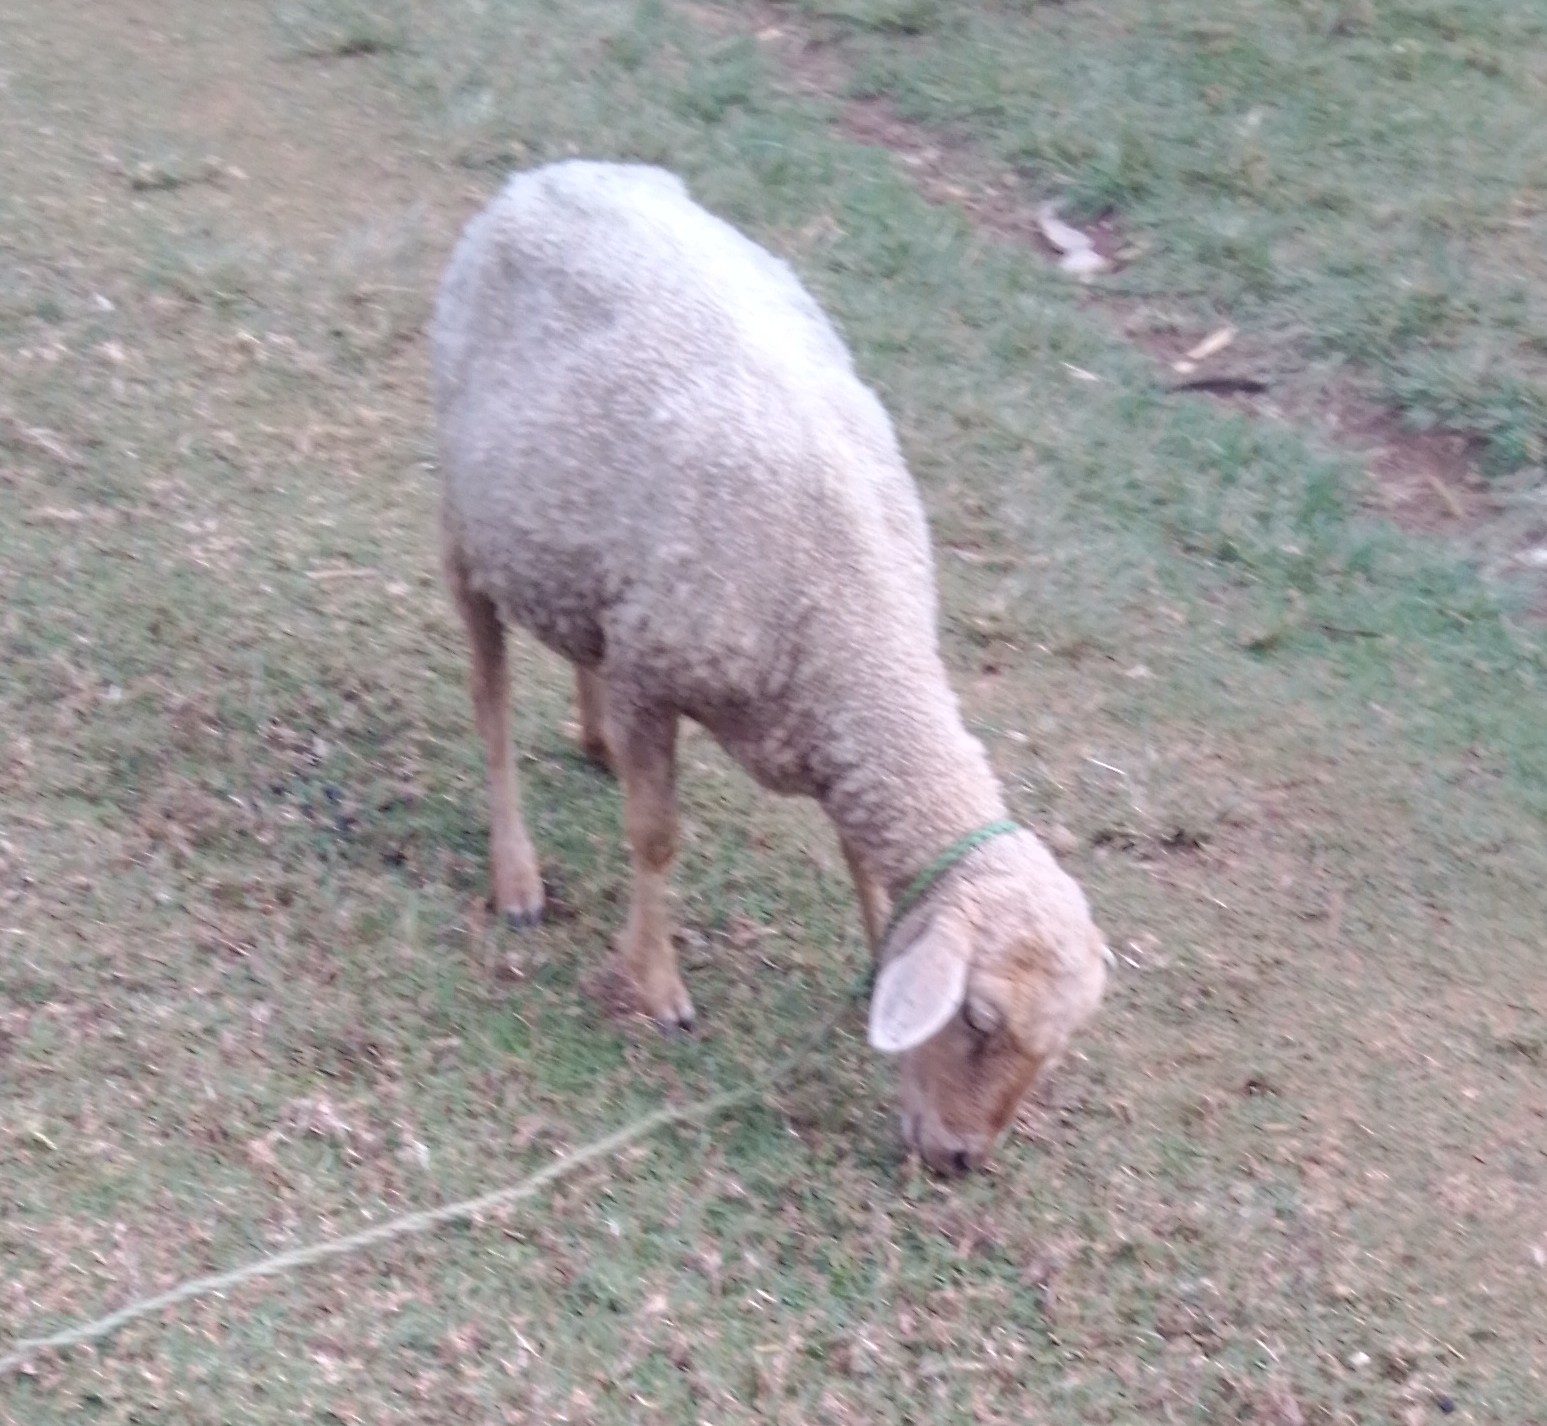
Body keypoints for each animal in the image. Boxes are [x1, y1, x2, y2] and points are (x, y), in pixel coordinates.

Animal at [432, 161, 1107, 1174]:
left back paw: (593, 744)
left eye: (1057, 1044)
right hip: (464, 524)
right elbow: (655, 839)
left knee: (577, 643)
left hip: (582, 558)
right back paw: (517, 876)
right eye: (979, 1019)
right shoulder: (653, 672)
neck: (858, 639)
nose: (958, 1162)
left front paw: (873, 957)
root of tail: (551, 173)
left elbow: (863, 862)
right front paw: (655, 984)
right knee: (490, 699)